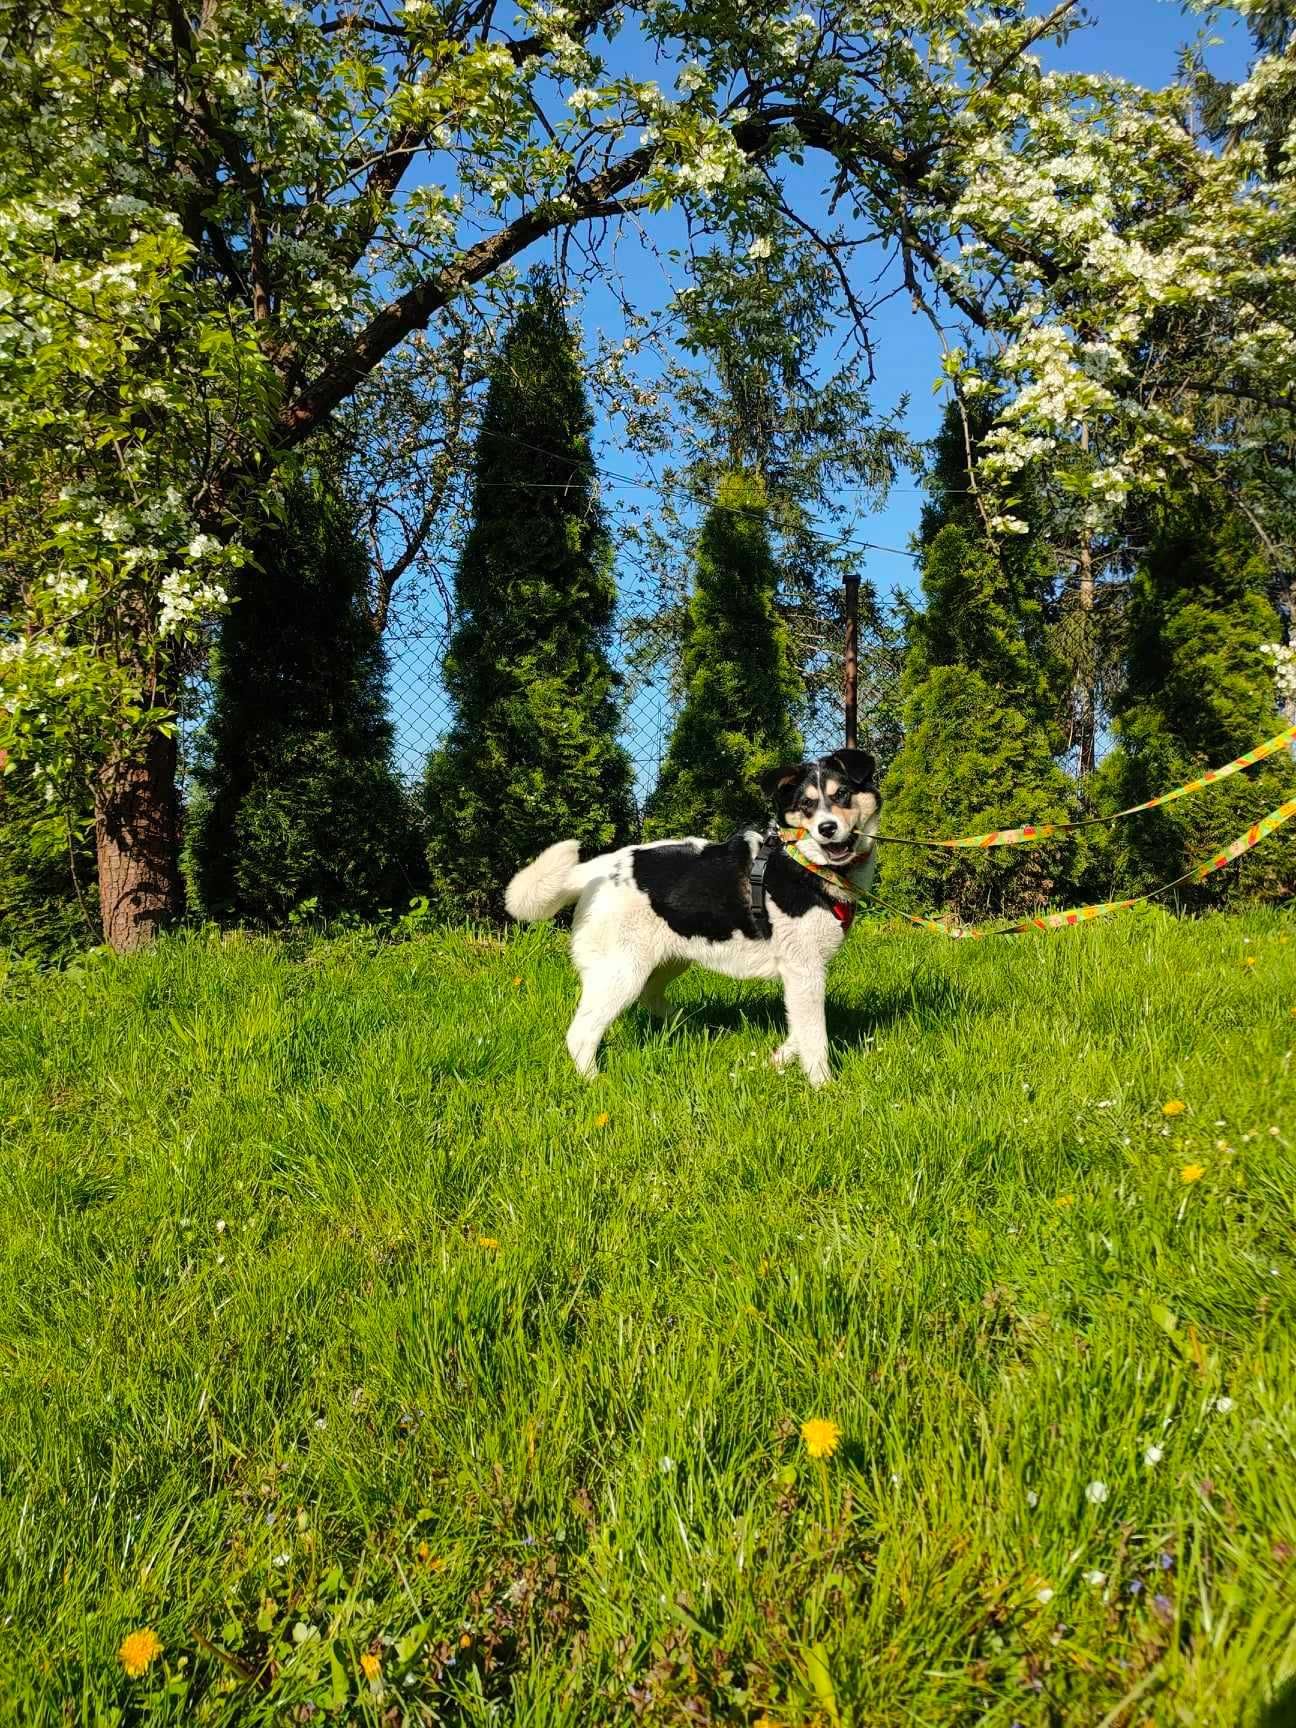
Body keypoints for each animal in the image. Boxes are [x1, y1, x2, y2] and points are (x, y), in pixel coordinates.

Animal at [508, 749, 884, 1085]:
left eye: (843, 794)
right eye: (806, 805)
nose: (827, 828)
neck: (803, 862)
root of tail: (595, 870)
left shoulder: (804, 977)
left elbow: (800, 1031)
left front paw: (776, 1060)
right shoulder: (804, 970)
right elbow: (815, 1038)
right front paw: (823, 1086)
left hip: (666, 960)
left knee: (650, 998)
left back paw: (689, 1025)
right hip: (621, 973)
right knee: (581, 1033)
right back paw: (595, 1082)